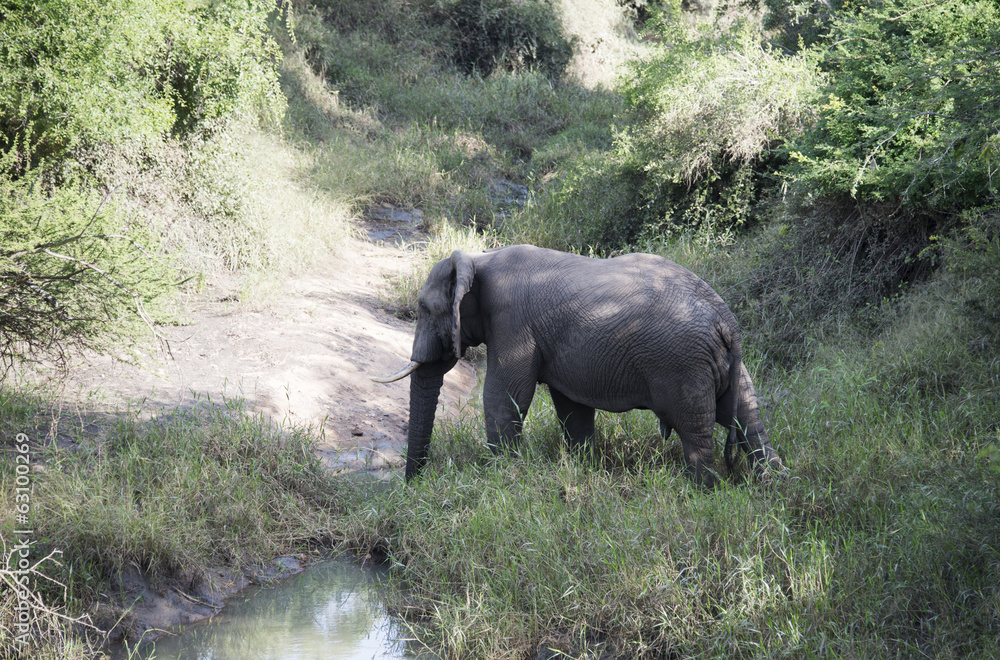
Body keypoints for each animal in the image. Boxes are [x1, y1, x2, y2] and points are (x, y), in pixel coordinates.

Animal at [374, 244, 782, 486]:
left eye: (425, 309)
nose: (412, 486)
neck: (478, 258)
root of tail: (726, 321)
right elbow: (571, 408)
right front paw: (584, 466)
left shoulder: (512, 323)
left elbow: (505, 397)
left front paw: (500, 476)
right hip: (721, 366)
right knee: (749, 418)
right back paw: (774, 482)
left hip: (683, 365)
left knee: (695, 432)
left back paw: (702, 491)